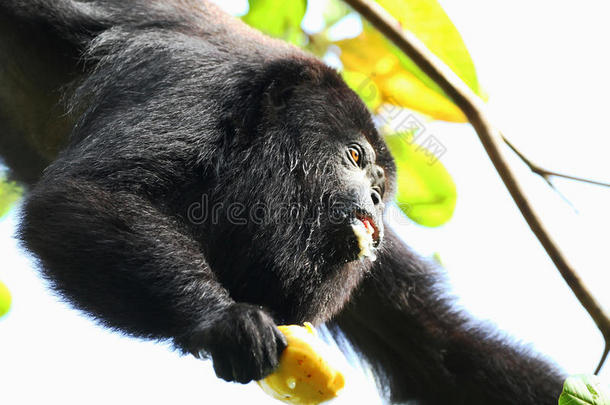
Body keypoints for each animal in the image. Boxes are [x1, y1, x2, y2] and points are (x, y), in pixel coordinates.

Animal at [0, 0, 564, 402]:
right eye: (355, 156)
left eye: (382, 188)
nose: (375, 199)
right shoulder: (193, 81)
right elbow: (86, 195)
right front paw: (223, 320)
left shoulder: (375, 264)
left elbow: (442, 354)